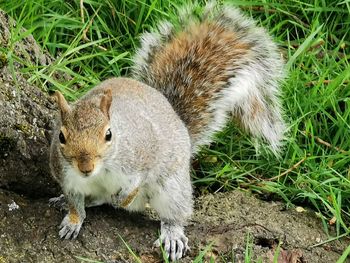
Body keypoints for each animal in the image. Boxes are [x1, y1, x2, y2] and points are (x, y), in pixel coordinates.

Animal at [48, 1, 284, 262]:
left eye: (108, 134)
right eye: (61, 136)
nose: (85, 167)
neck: (100, 171)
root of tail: (177, 119)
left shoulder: (141, 155)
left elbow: (137, 180)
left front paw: (124, 197)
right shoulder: (67, 177)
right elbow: (75, 203)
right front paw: (73, 219)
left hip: (173, 187)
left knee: (175, 212)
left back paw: (171, 233)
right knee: (98, 198)